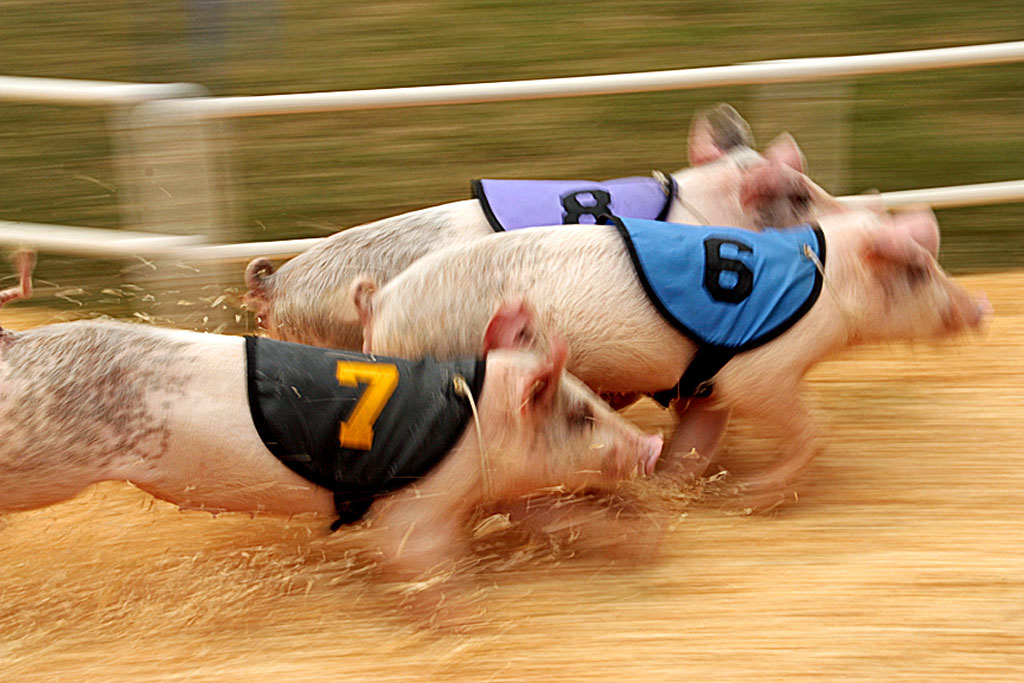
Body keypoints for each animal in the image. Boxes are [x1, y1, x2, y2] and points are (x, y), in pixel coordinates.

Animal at [0, 253, 659, 573]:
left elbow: (557, 518)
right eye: (581, 417)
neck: (475, 411)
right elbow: (410, 554)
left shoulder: (502, 492)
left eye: (590, 400)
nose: (650, 448)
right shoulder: (416, 502)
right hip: (40, 457)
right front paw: (460, 622)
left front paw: (639, 543)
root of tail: (14, 342)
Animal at [356, 208, 987, 511]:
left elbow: (698, 440)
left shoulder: (706, 384)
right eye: (917, 270)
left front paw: (676, 484)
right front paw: (754, 498)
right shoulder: (761, 370)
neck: (828, 279)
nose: (981, 307)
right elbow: (810, 427)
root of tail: (380, 303)